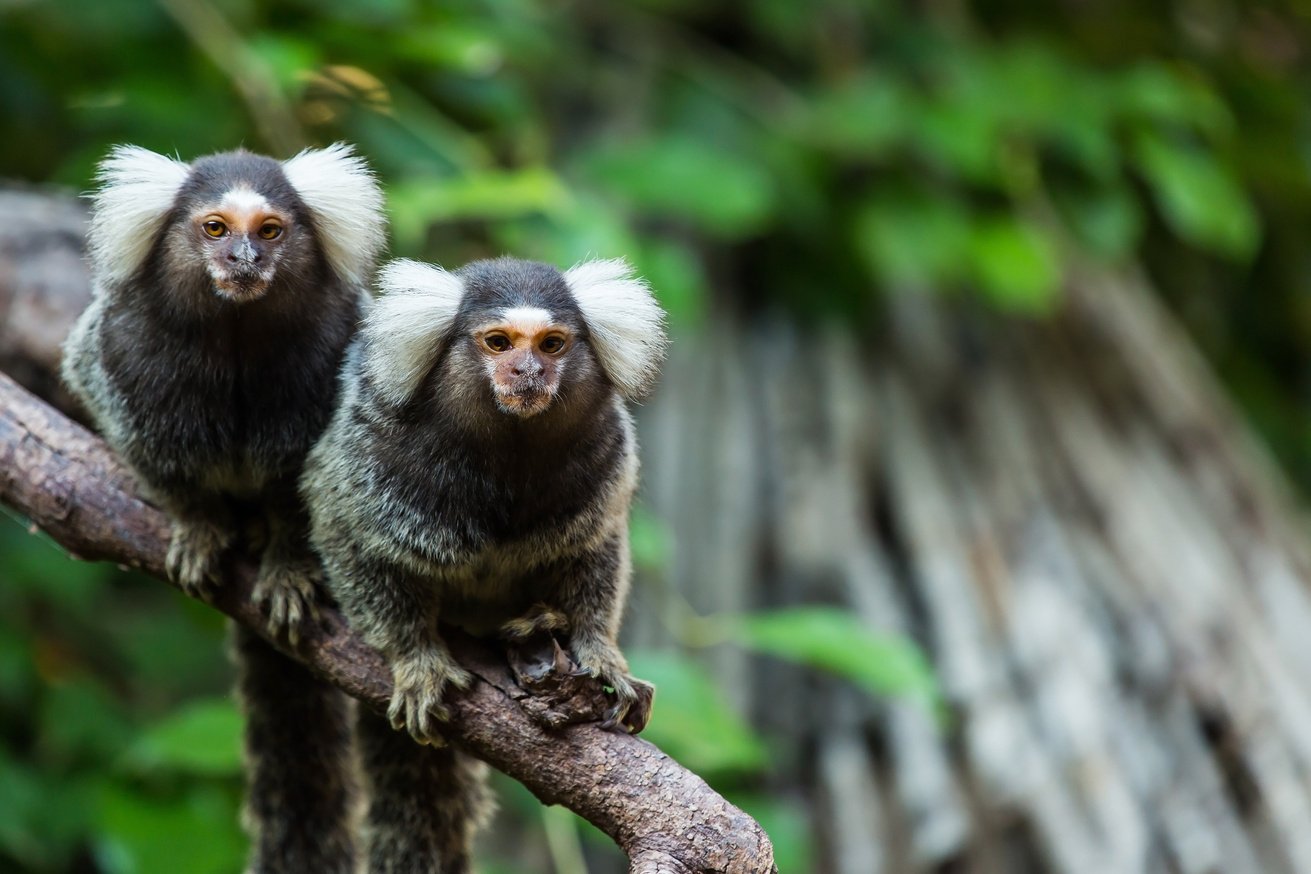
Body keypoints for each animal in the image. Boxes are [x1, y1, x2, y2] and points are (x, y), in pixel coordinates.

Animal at [61, 145, 382, 874]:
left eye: (269, 230)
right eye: (214, 228)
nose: (243, 258)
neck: (236, 338)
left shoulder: (336, 354)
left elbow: (311, 487)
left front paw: (288, 565)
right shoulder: (123, 350)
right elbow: (144, 440)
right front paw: (199, 527)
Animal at [300, 256, 665, 870]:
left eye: (551, 344)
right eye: (498, 342)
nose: (527, 371)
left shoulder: (605, 459)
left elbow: (596, 550)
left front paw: (600, 653)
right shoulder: (370, 452)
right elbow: (348, 533)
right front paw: (415, 658)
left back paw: (537, 622)